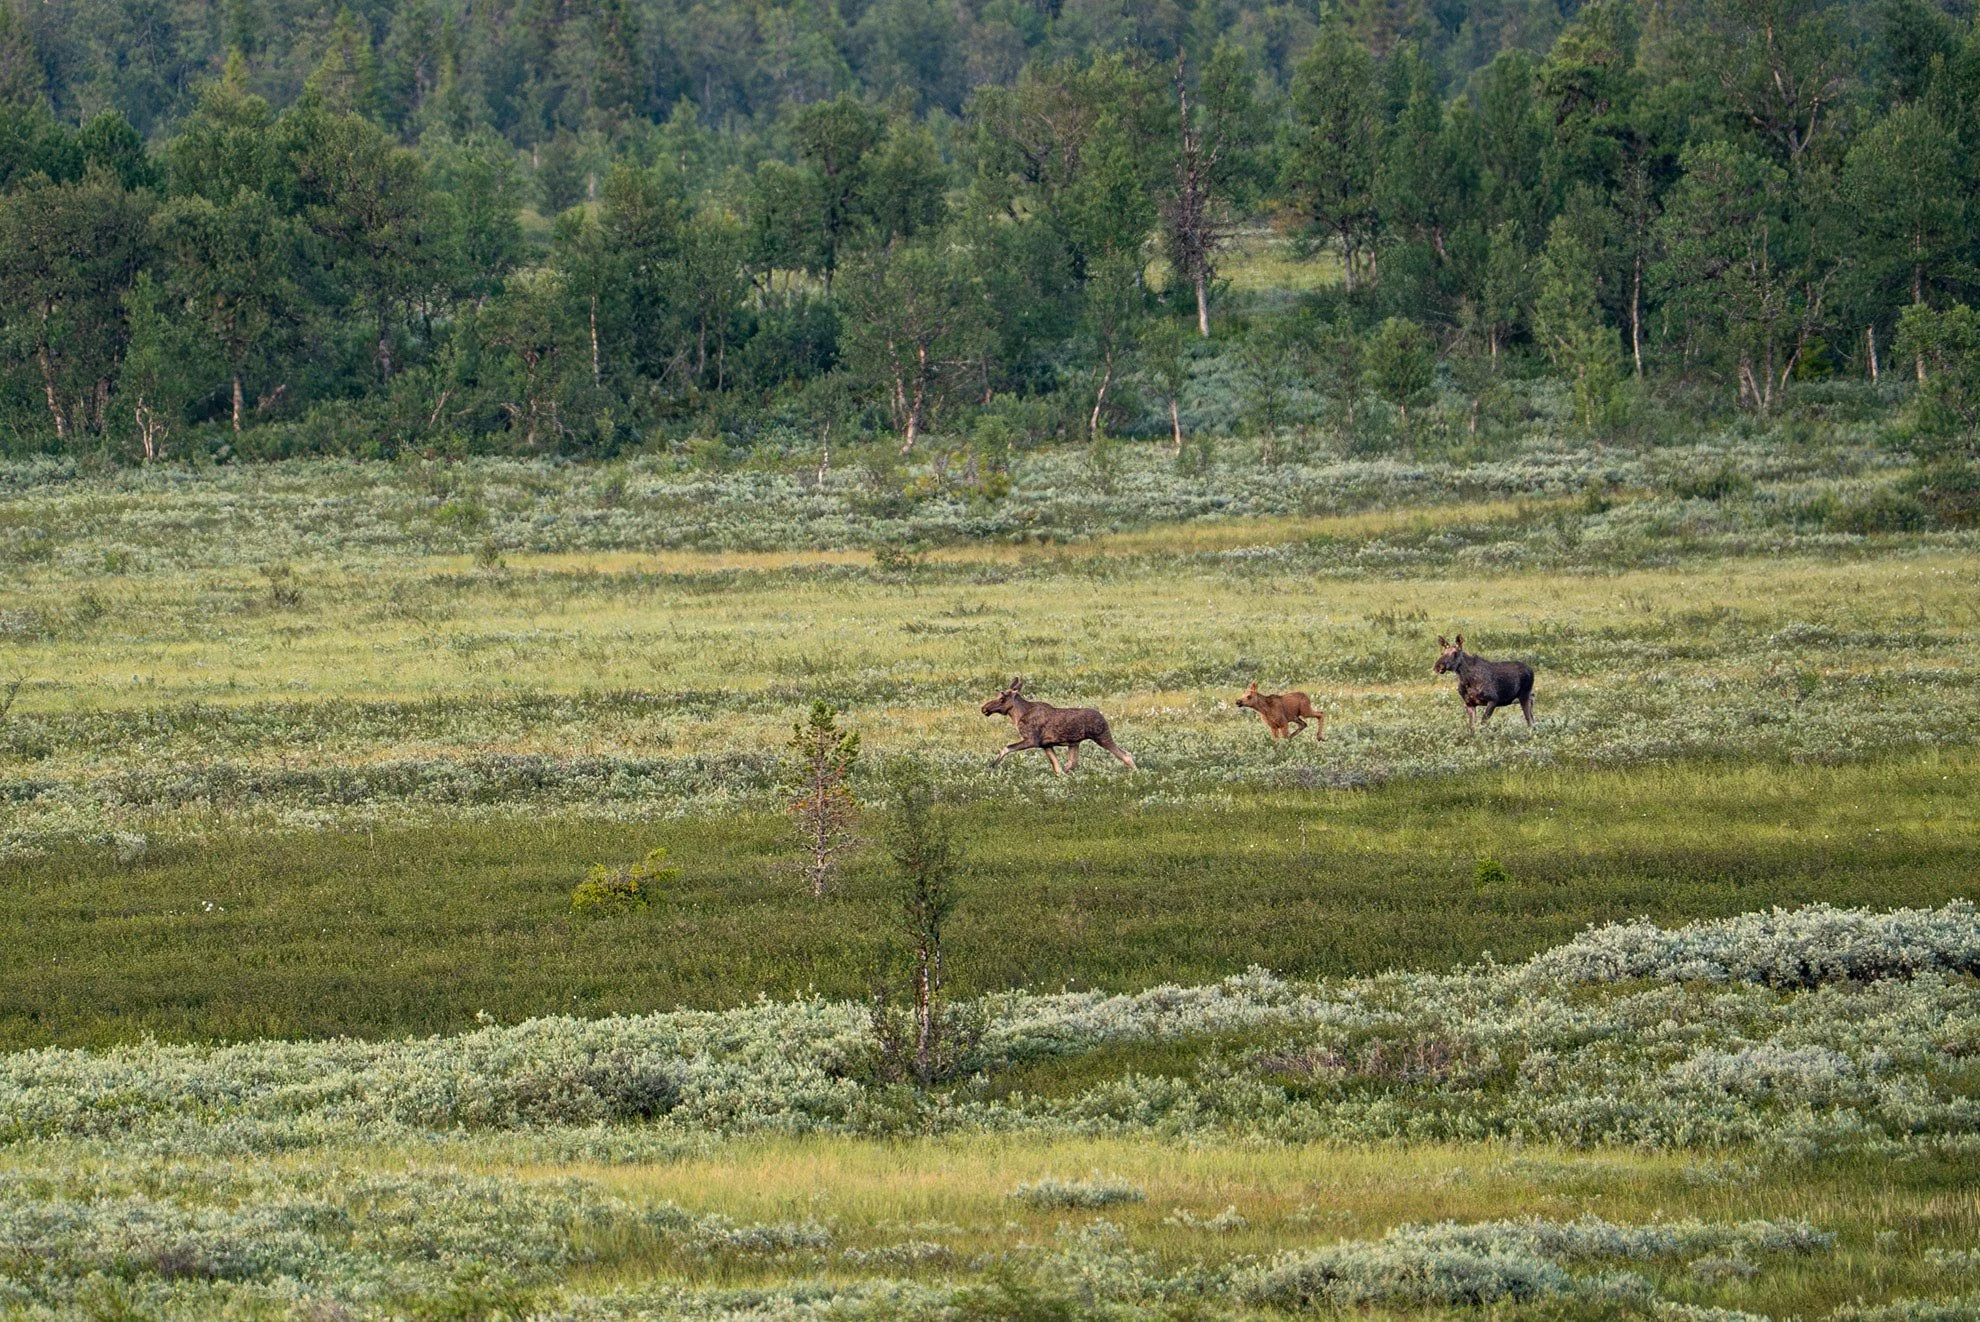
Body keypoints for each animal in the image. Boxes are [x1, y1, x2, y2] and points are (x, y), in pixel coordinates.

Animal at [980, 677, 1137, 775]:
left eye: (1002, 698)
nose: (984, 708)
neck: (1017, 715)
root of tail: (1103, 717)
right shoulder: (1045, 745)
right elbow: (1057, 768)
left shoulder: (1032, 740)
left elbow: (1006, 748)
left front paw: (992, 766)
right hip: (1074, 743)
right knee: (1071, 763)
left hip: (1102, 737)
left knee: (1125, 754)